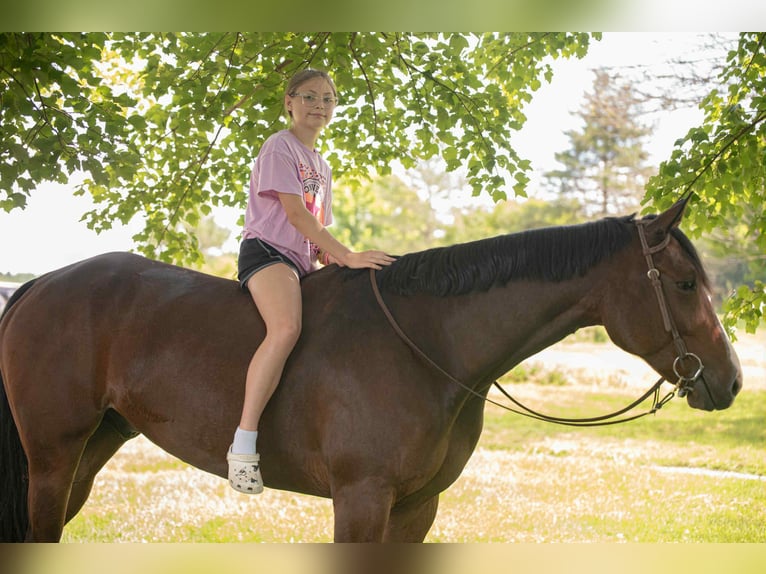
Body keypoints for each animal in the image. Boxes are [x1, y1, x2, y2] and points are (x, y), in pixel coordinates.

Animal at [0, 198, 742, 542]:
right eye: (683, 284)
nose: (731, 380)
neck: (428, 344)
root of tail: (39, 285)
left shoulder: (416, 506)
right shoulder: (361, 500)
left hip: (91, 450)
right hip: (54, 457)